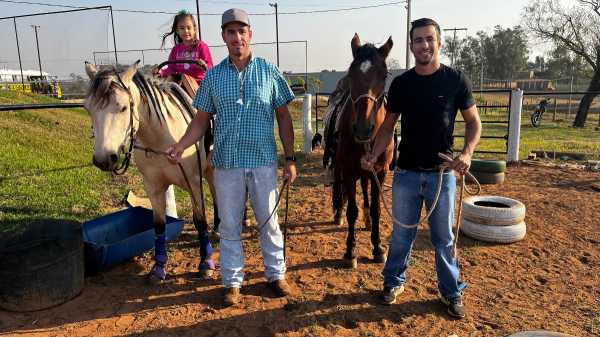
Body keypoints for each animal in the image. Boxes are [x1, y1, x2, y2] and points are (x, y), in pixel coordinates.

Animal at [83, 60, 217, 284]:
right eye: (87, 108)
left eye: (123, 107)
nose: (104, 159)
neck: (162, 139)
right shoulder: (153, 186)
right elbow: (159, 225)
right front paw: (158, 267)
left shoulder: (193, 182)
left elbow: (200, 220)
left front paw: (206, 262)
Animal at [326, 34, 396, 268]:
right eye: (351, 74)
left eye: (384, 76)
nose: (363, 129)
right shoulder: (348, 171)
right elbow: (351, 211)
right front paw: (350, 251)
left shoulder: (381, 173)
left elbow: (377, 209)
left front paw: (378, 248)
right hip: (339, 167)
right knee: (339, 186)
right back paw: (338, 212)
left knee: (365, 187)